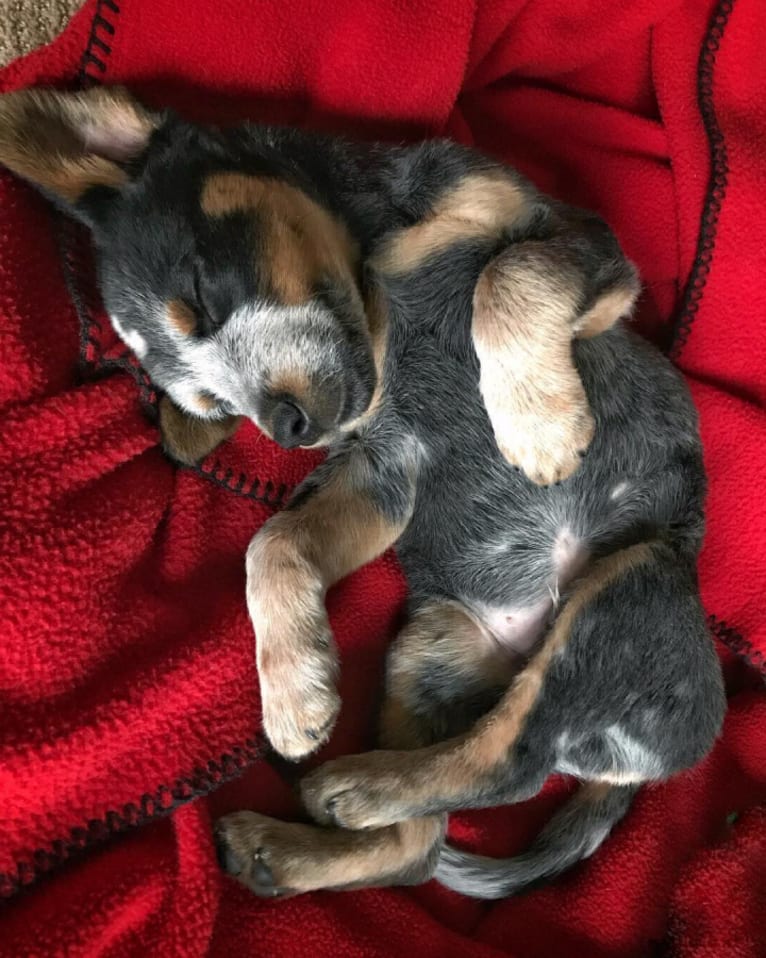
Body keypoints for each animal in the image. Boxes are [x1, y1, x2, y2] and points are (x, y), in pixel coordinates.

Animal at [0, 84, 728, 900]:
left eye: (199, 294)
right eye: (212, 403)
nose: (286, 429)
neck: (376, 283)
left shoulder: (580, 243)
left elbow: (509, 273)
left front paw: (537, 426)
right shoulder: (383, 468)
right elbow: (274, 541)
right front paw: (293, 688)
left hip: (629, 582)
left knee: (510, 763)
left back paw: (342, 794)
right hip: (434, 644)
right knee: (433, 830)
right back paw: (297, 833)